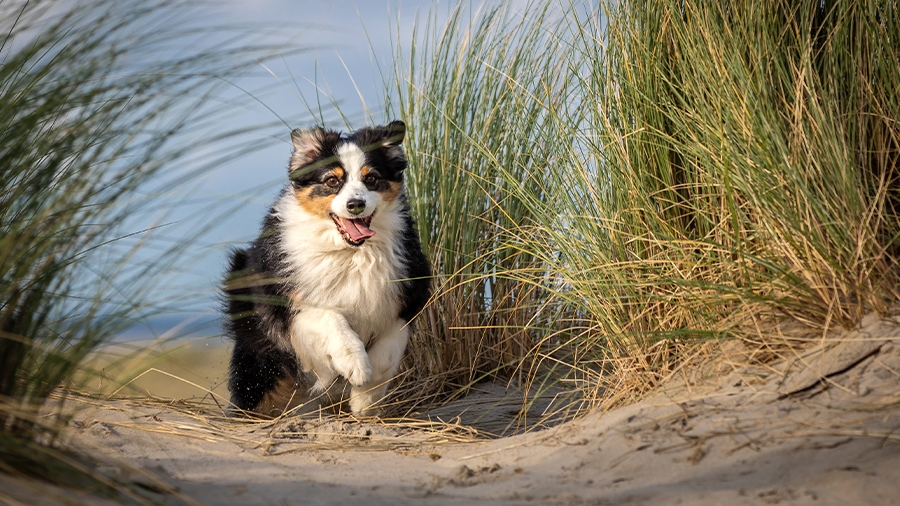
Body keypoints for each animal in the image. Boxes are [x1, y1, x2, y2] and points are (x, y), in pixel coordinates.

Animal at [227, 120, 434, 418]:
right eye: (332, 181)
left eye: (371, 179)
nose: (355, 204)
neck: (351, 254)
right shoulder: (294, 307)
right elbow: (332, 320)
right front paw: (356, 365)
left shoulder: (407, 297)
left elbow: (387, 356)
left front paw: (365, 401)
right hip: (259, 362)